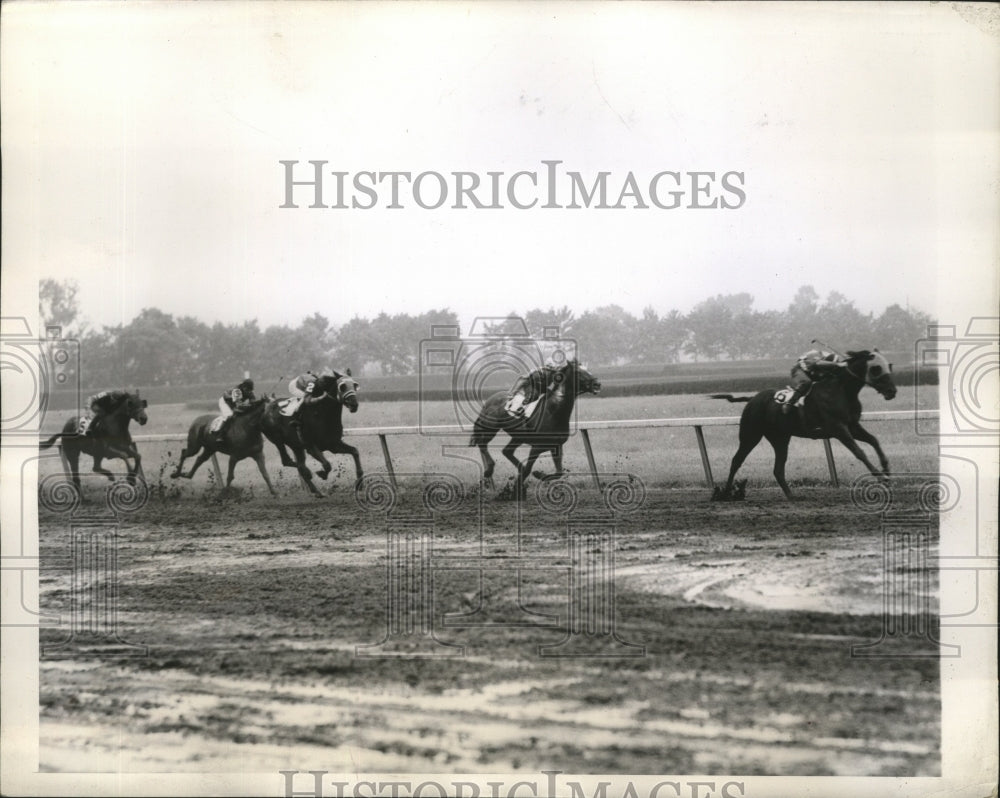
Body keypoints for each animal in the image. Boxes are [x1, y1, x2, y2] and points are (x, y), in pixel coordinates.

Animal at [470, 360, 600, 496]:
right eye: (578, 372)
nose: (597, 384)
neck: (553, 411)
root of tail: (489, 400)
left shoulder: (556, 446)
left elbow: (559, 472)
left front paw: (538, 475)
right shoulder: (536, 447)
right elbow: (528, 469)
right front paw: (517, 487)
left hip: (517, 437)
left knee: (506, 451)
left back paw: (515, 468)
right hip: (491, 427)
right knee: (482, 443)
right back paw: (489, 469)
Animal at [712, 350, 900, 500]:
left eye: (889, 366)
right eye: (876, 368)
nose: (892, 391)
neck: (842, 391)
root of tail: (752, 399)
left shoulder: (853, 426)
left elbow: (874, 441)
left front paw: (886, 469)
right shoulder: (838, 428)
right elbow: (859, 452)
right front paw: (881, 477)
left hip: (780, 438)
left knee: (778, 469)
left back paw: (791, 495)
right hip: (750, 435)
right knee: (736, 460)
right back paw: (726, 493)